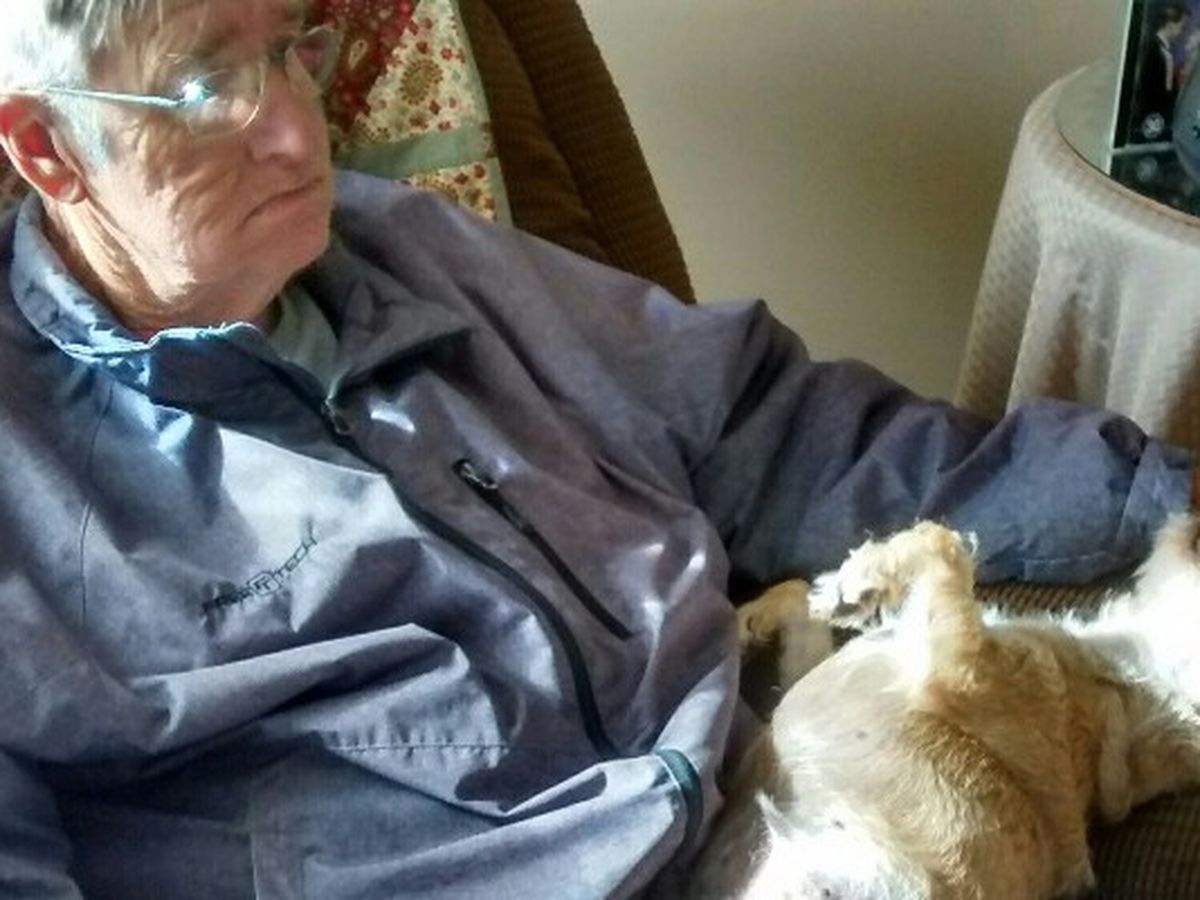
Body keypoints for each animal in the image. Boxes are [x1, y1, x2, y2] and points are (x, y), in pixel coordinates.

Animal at [686, 517, 1200, 899]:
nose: (1187, 518)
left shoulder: (959, 669)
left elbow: (941, 539)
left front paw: (857, 580)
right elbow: (798, 597)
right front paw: (758, 616)